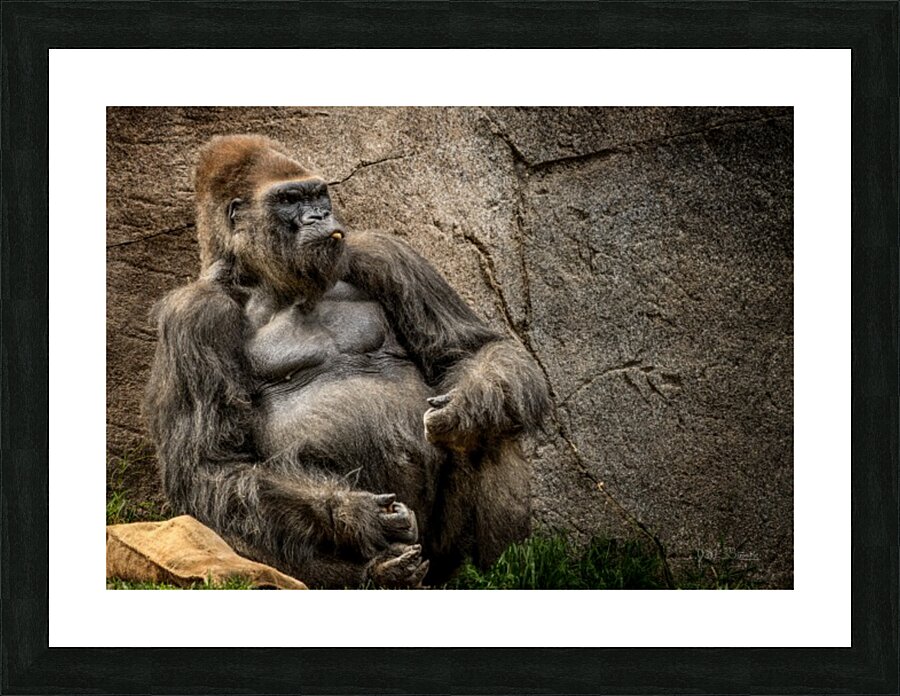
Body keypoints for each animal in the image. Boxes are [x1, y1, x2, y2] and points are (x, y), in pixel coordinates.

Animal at [143, 135, 550, 588]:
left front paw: (467, 408)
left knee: (495, 423)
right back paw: (378, 573)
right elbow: (211, 464)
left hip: (441, 559)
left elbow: (468, 351)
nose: (321, 215)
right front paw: (353, 513)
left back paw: (495, 572)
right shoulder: (192, 316)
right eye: (289, 199)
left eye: (317, 194)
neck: (262, 277)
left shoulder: (383, 253)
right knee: (232, 513)